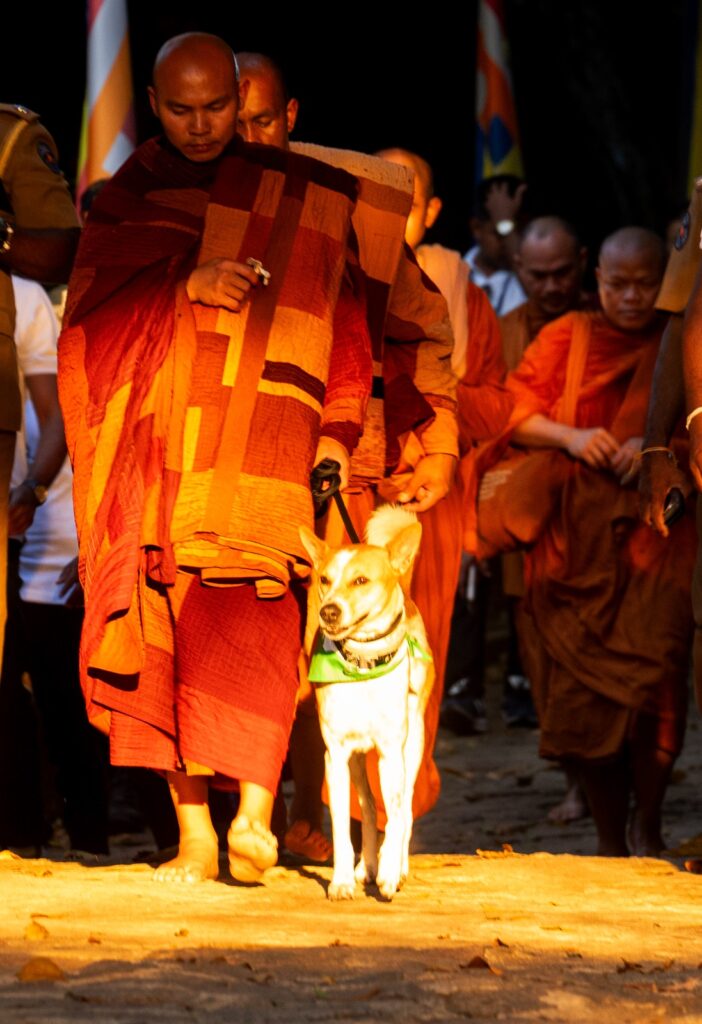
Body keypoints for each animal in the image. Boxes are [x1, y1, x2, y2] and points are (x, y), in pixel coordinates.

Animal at [299, 504, 434, 901]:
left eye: (360, 581)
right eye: (324, 580)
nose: (329, 611)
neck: (360, 667)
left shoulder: (391, 751)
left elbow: (398, 813)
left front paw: (390, 874)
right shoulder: (336, 755)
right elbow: (344, 828)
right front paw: (342, 880)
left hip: (413, 743)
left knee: (403, 810)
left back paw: (395, 867)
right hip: (358, 762)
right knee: (370, 808)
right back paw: (367, 866)